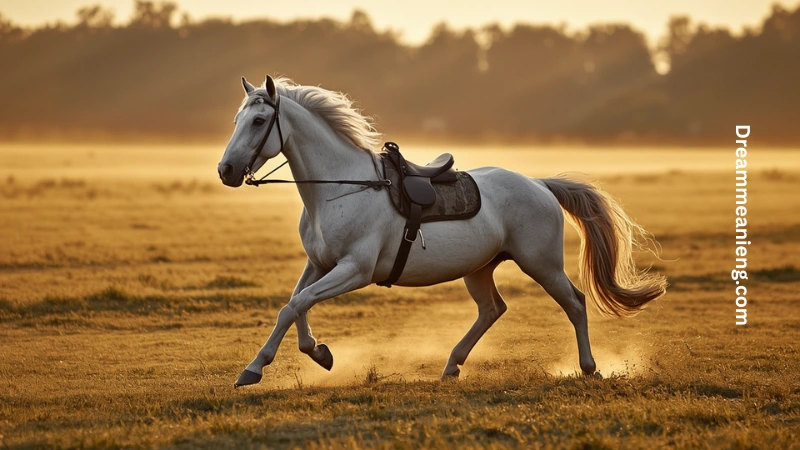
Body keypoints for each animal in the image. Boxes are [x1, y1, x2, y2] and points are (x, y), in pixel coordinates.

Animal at [217, 75, 667, 387]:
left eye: (259, 120)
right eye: (237, 119)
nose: (226, 171)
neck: (342, 187)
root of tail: (539, 184)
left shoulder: (354, 270)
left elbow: (295, 305)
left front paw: (253, 369)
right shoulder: (320, 264)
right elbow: (296, 304)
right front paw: (318, 352)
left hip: (541, 265)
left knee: (574, 303)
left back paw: (589, 368)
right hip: (481, 268)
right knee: (492, 309)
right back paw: (452, 365)